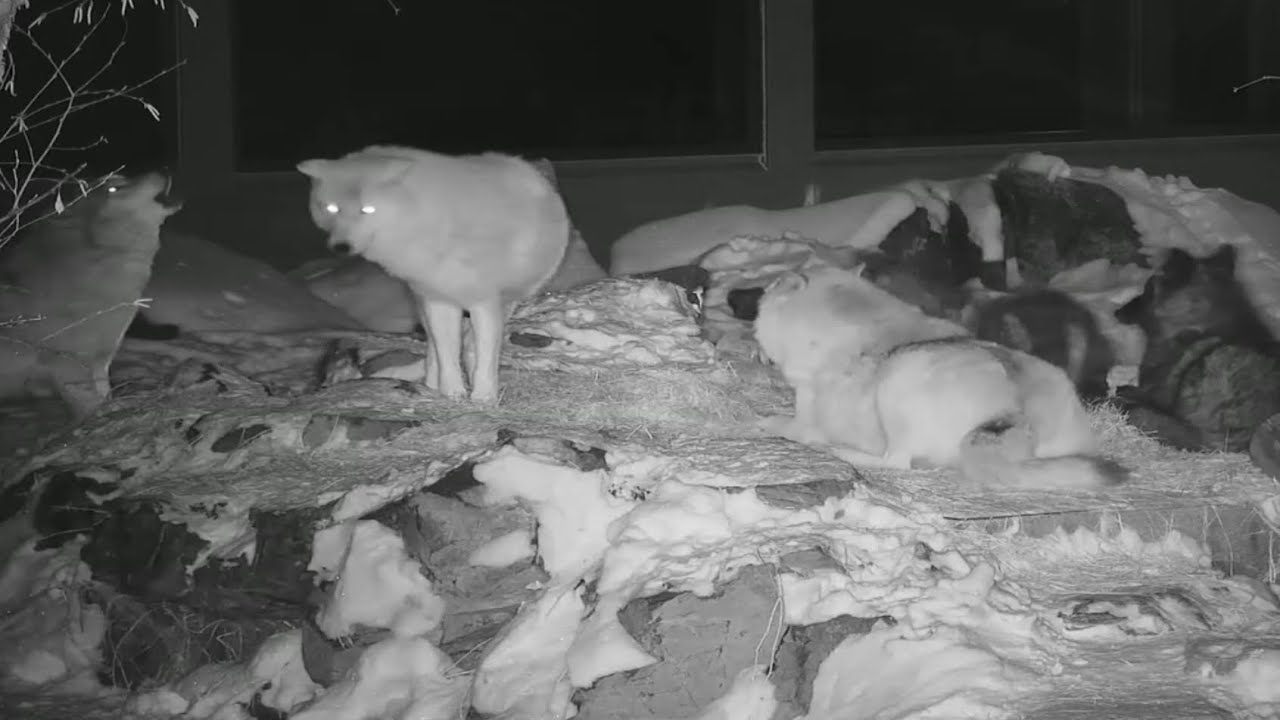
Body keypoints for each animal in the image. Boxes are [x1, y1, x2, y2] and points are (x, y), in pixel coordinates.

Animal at [0, 172, 182, 419]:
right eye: (115, 188)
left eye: (121, 178)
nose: (164, 168)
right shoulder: (68, 365)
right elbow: (90, 407)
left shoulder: (100, 362)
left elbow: (105, 395)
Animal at [297, 146, 571, 402]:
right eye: (332, 208)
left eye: (368, 210)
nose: (341, 247)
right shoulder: (438, 300)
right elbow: (446, 355)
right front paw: (451, 394)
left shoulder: (485, 302)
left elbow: (483, 357)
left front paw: (483, 398)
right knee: (434, 350)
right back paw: (430, 384)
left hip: (507, 301)